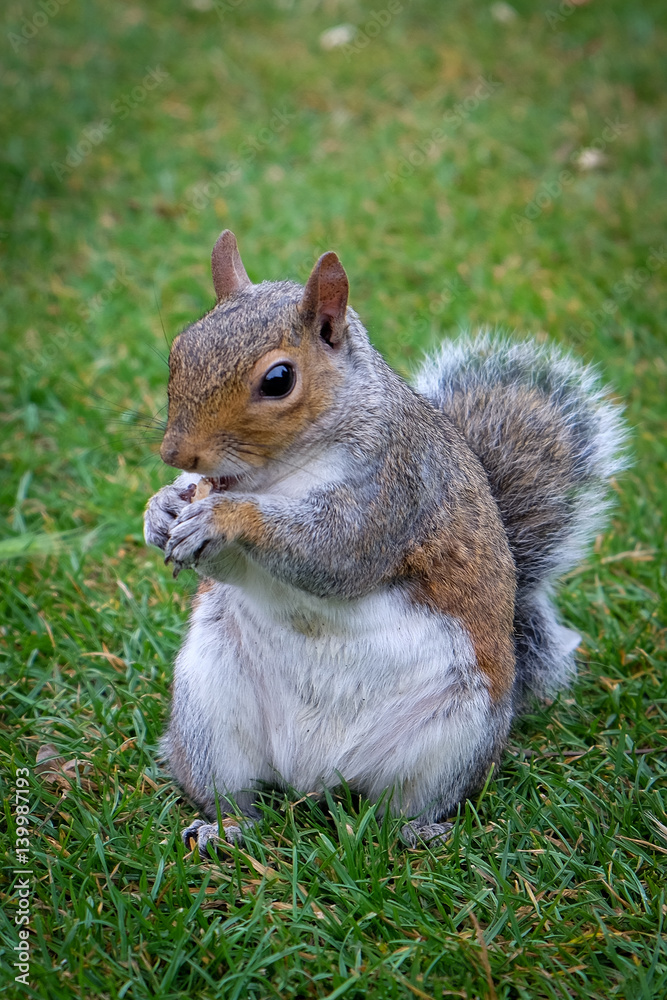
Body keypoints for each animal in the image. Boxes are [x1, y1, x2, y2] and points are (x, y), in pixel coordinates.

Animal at [144, 230, 626, 851]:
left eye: (278, 380)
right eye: (180, 348)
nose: (175, 454)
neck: (275, 476)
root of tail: (314, 778)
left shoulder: (395, 489)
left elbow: (336, 553)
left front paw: (222, 518)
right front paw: (161, 508)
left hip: (454, 735)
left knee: (403, 806)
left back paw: (420, 833)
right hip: (210, 710)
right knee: (239, 795)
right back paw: (224, 828)